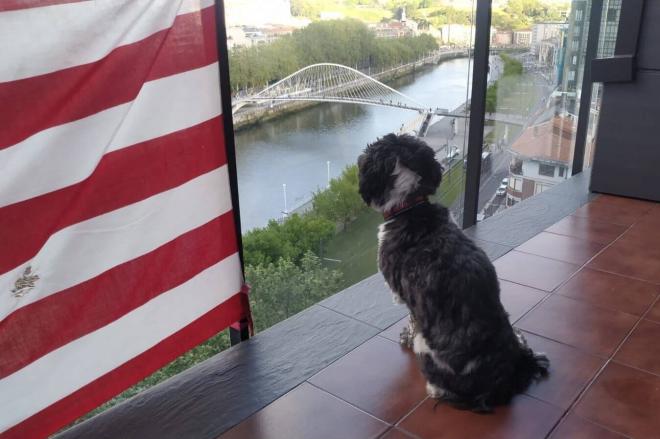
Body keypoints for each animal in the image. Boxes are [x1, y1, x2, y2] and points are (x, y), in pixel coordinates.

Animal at [358, 133, 548, 412]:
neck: (411, 207)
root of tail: (503, 380)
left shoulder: (408, 298)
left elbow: (411, 321)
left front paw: (405, 337)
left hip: (429, 349)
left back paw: (434, 388)